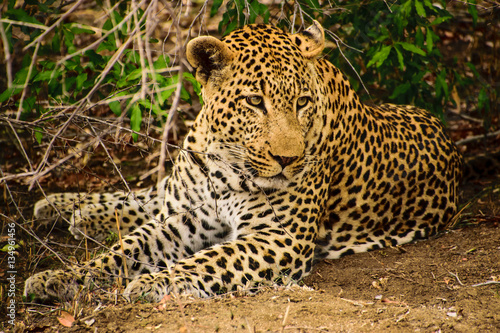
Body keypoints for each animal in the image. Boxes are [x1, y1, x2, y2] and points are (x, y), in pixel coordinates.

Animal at [23, 19, 460, 302]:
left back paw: (72, 214)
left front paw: (153, 283)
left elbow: (211, 259)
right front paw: (58, 278)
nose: (288, 159)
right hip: (174, 195)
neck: (225, 160)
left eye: (302, 102)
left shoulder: (278, 236)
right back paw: (62, 207)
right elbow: (124, 250)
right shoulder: (186, 217)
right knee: (146, 197)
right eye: (254, 101)